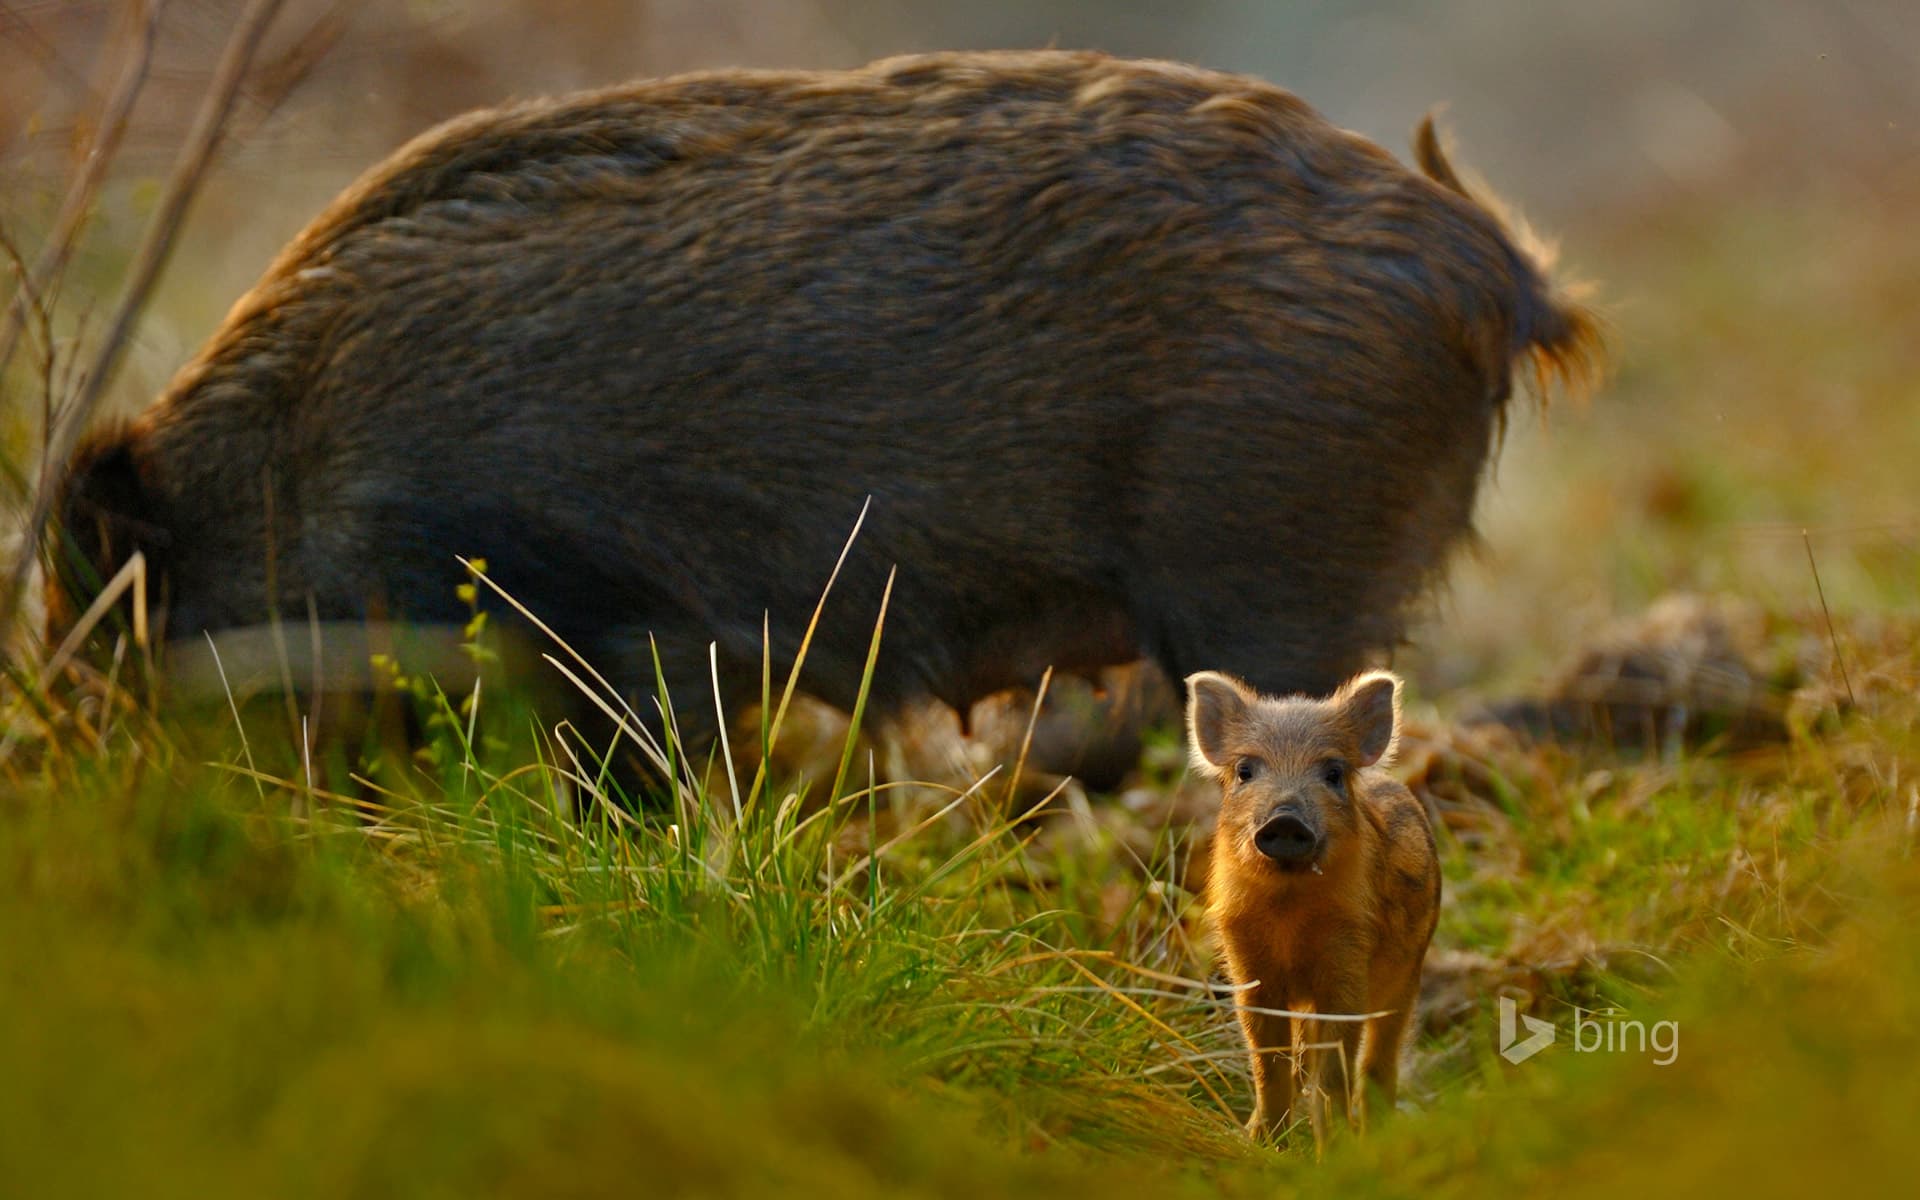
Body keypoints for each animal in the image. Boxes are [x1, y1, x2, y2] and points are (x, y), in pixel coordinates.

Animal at [1186, 669, 1440, 1141]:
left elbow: (1335, 1069)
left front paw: (1337, 1149)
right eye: (1245, 771)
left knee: (1379, 1059)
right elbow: (1267, 1062)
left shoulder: (1347, 960)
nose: (1285, 818)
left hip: (1407, 975)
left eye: (1333, 772)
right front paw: (1261, 1144)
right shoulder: (1248, 964)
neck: (1288, 912)